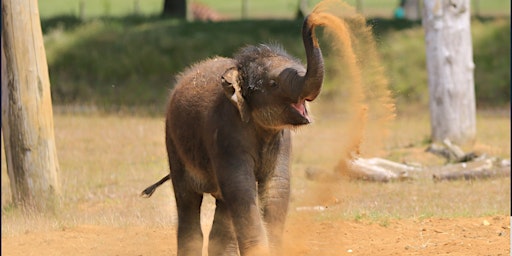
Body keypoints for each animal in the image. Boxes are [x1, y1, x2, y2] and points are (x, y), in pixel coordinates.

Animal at [142, 14, 322, 256]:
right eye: (273, 83)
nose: (313, 17)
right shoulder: (226, 133)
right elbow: (242, 189)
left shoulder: (282, 140)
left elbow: (277, 188)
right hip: (173, 142)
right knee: (187, 200)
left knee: (223, 209)